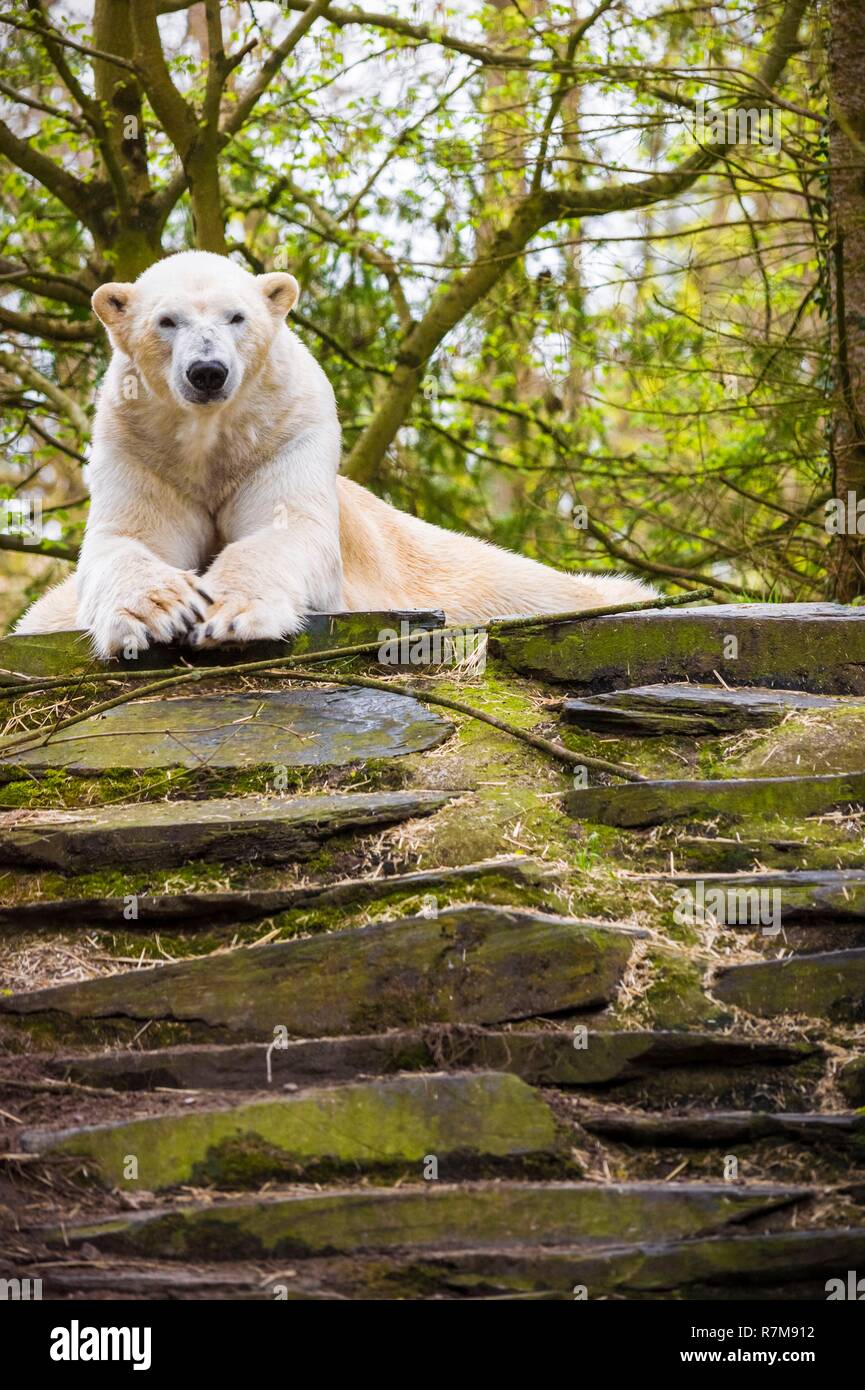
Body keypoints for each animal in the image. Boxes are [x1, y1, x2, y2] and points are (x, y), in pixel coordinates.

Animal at [13, 251, 653, 656]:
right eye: (166, 321)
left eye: (237, 316)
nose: (208, 372)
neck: (210, 437)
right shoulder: (138, 446)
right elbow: (128, 540)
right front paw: (159, 611)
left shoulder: (288, 432)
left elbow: (290, 529)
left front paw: (226, 613)